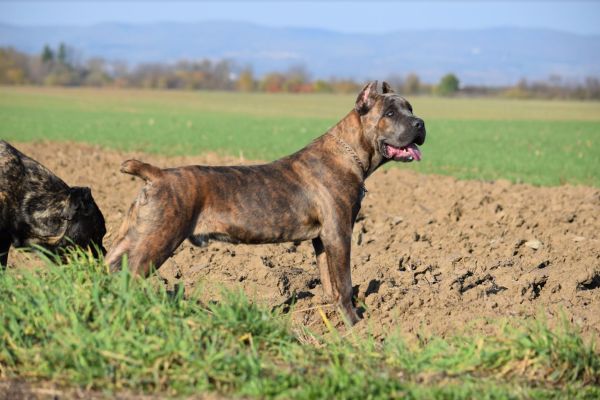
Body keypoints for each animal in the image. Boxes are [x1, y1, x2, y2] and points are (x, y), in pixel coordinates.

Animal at [108, 82, 426, 324]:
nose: (420, 123)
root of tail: (157, 174)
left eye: (410, 108)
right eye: (389, 113)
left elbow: (328, 280)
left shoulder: (323, 239)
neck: (350, 154)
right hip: (158, 239)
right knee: (130, 276)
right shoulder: (339, 232)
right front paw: (355, 324)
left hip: (133, 234)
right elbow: (345, 283)